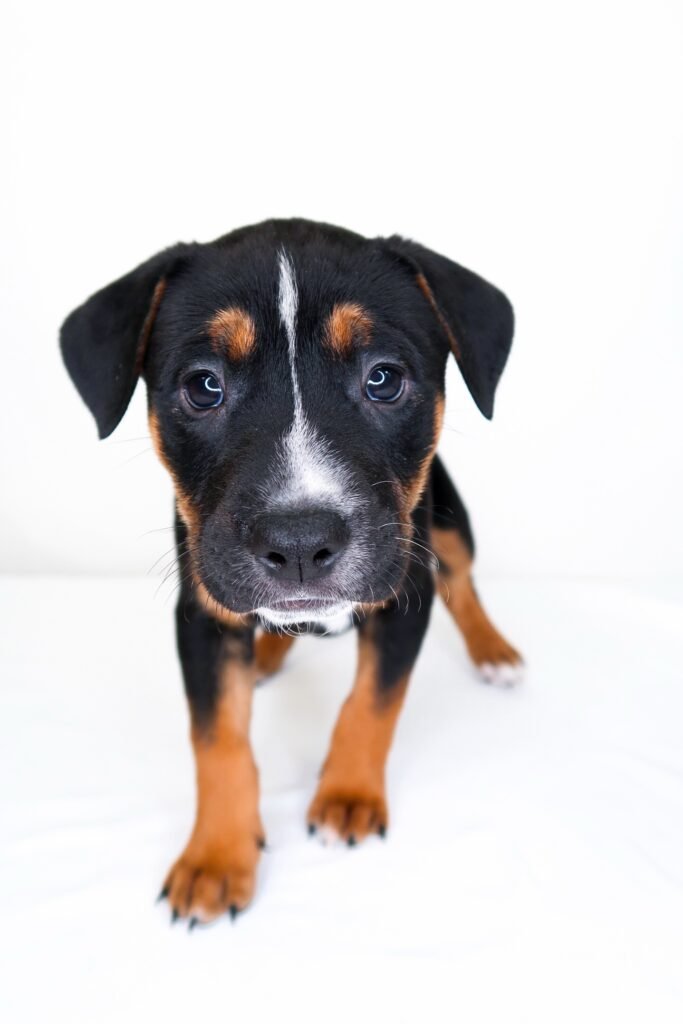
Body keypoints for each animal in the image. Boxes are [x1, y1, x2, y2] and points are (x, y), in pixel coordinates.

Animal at [60, 218, 523, 926]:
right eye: (204, 386)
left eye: (383, 379)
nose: (301, 544)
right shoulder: (202, 614)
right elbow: (217, 741)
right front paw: (217, 858)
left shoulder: (405, 593)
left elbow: (373, 703)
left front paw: (348, 797)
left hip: (446, 520)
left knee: (464, 580)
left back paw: (493, 650)